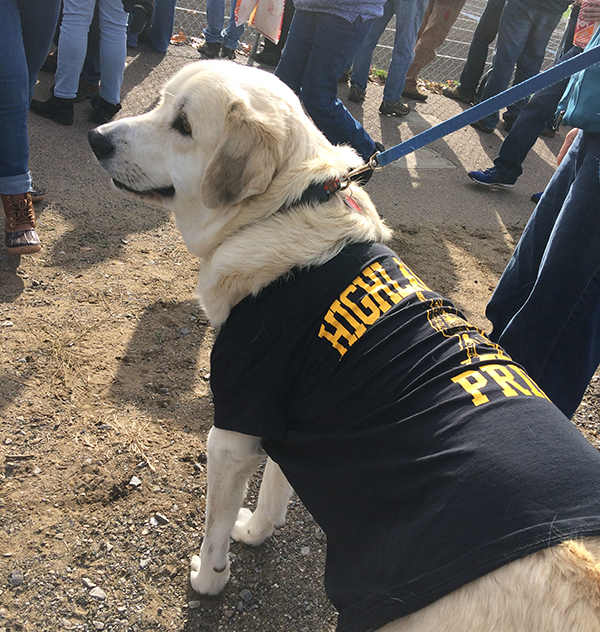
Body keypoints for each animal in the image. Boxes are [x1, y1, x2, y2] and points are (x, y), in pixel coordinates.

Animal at [88, 60, 600, 632]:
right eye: (158, 102)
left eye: (182, 125)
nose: (96, 138)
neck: (284, 210)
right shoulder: (293, 420)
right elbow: (275, 493)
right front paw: (256, 531)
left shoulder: (236, 426)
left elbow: (215, 528)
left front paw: (209, 578)